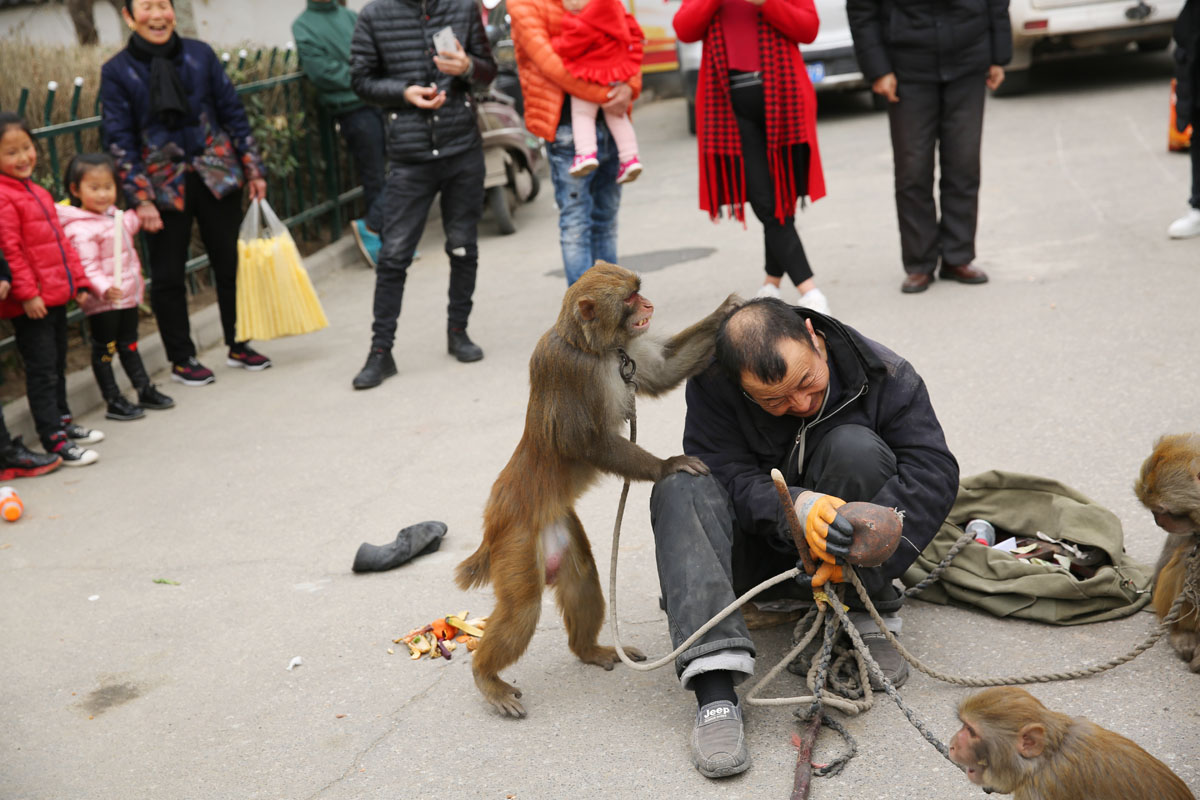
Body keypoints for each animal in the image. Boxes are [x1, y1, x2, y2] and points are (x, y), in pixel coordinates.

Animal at [456, 262, 739, 719]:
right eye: (629, 299)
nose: (649, 304)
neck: (594, 349)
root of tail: (495, 521)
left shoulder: (628, 353)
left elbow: (663, 370)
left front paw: (727, 310)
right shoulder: (571, 369)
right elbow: (587, 443)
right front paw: (666, 465)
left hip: (559, 526)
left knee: (583, 579)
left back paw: (588, 649)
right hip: (516, 543)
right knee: (522, 610)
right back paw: (487, 678)